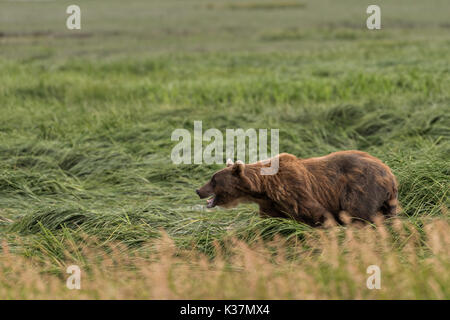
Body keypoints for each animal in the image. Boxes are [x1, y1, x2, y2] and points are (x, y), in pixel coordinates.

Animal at [195, 151, 400, 226]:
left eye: (213, 180)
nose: (198, 190)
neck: (263, 189)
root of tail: (390, 173)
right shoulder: (271, 204)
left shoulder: (293, 189)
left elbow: (317, 213)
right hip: (387, 199)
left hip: (361, 188)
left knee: (359, 213)